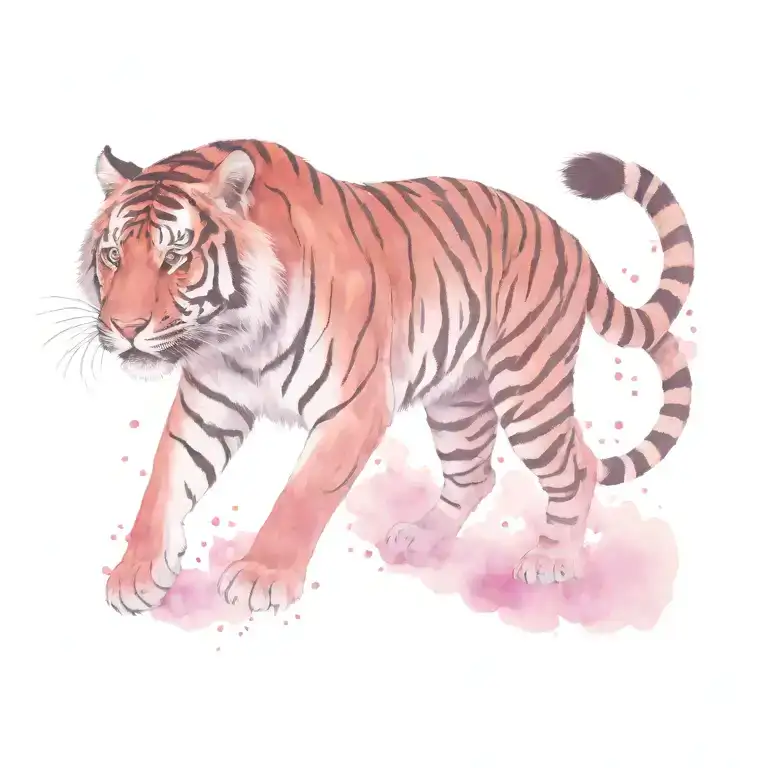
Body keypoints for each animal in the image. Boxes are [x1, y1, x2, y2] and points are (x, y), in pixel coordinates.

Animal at [79, 140, 694, 616]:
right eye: (112, 256)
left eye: (175, 257)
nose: (125, 328)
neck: (236, 336)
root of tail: (571, 239)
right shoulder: (209, 401)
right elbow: (165, 481)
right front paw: (136, 574)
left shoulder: (354, 405)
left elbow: (302, 496)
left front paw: (260, 577)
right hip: (460, 400)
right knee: (475, 474)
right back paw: (421, 536)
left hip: (528, 386)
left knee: (578, 466)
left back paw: (552, 559)